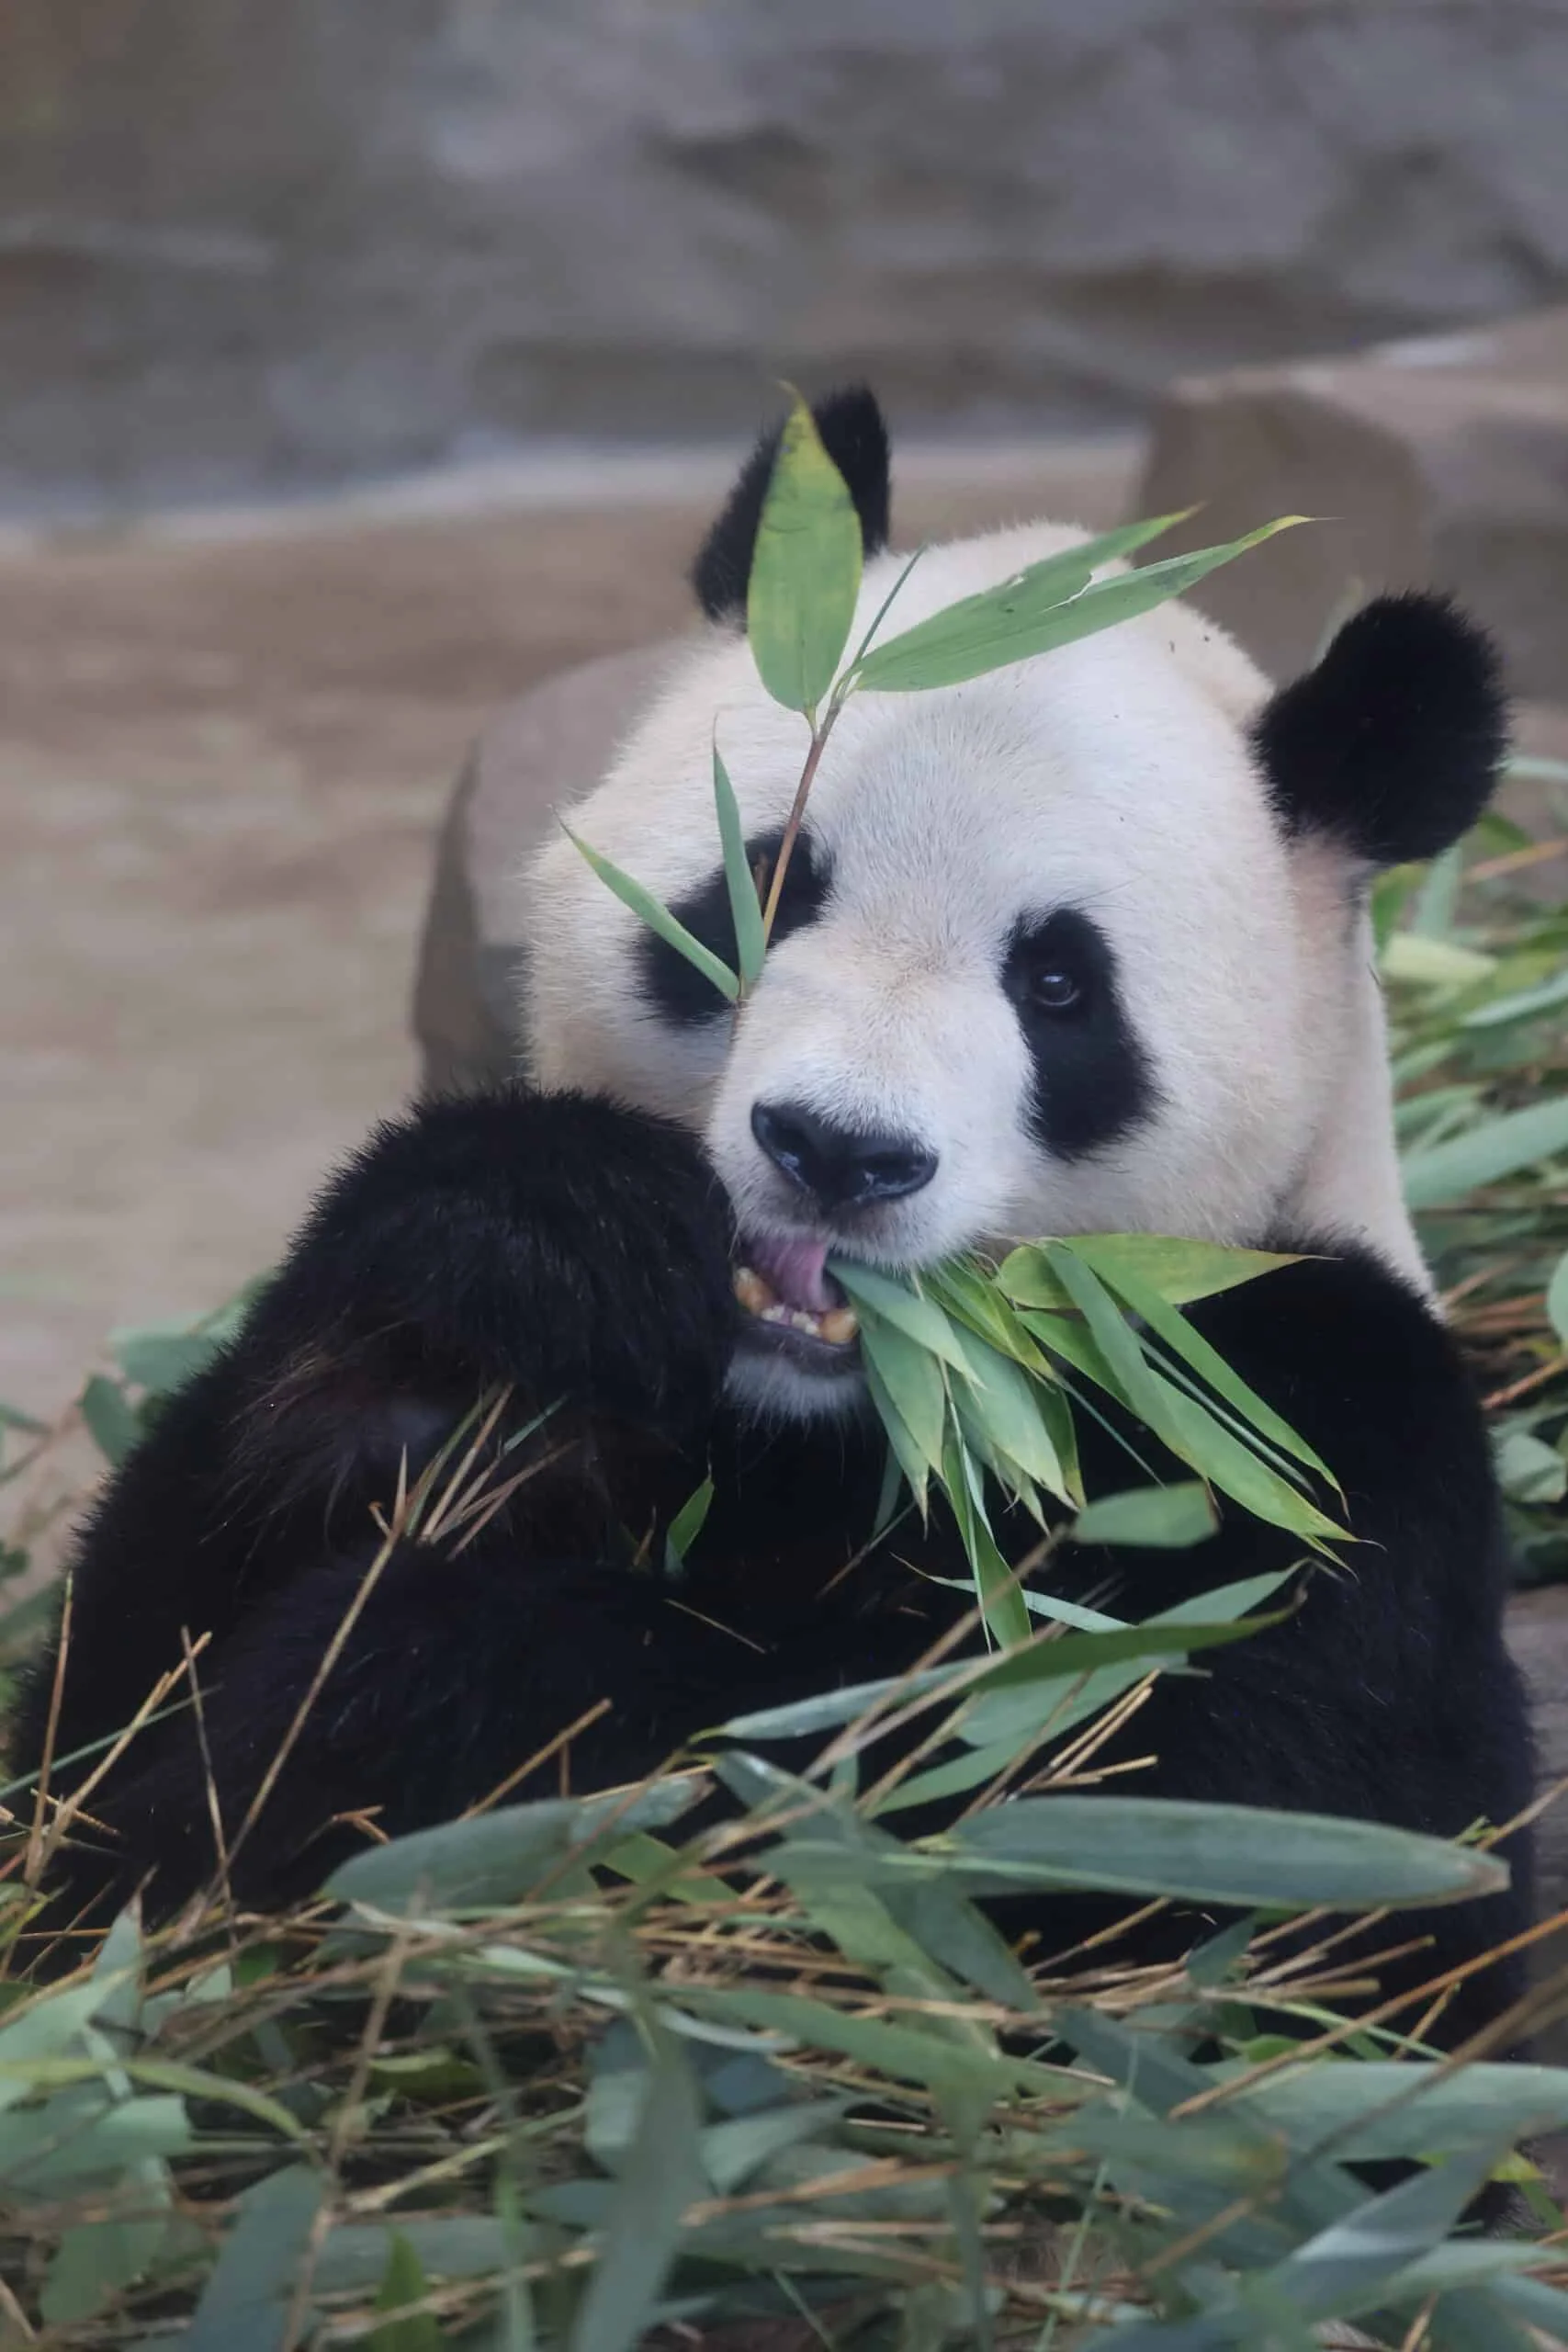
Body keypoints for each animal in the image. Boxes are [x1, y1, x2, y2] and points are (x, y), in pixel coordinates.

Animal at [10, 389, 1535, 2050]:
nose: (835, 1150)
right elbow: (98, 1697)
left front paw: (416, 1691)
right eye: (771, 882)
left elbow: (1196, 1860)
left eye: (1057, 985)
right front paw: (549, 1242)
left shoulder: (1300, 1422)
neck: (838, 1416)